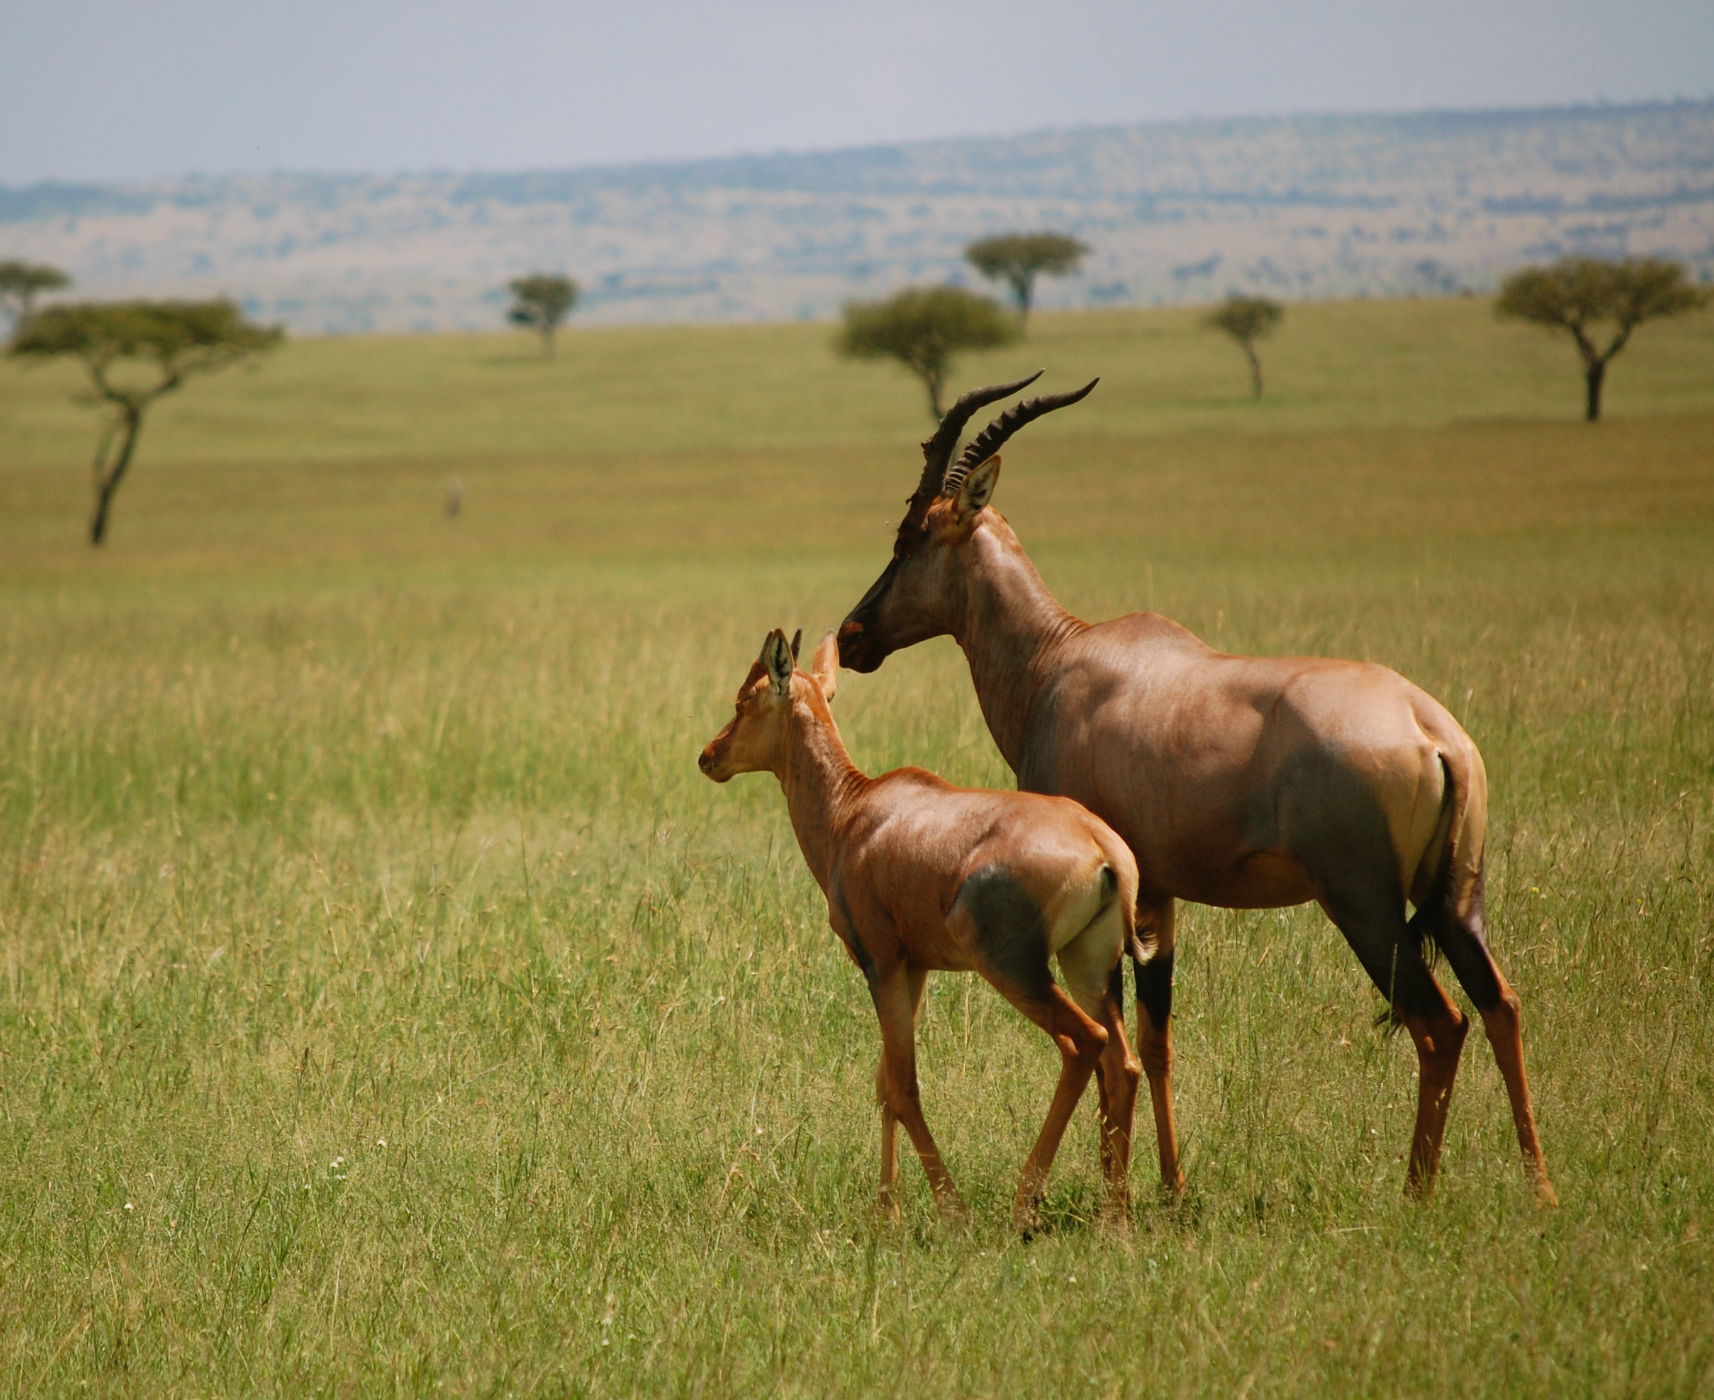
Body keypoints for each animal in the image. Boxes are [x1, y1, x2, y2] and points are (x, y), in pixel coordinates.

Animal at [699, 627, 1143, 1227]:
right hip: (1089, 963)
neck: (856, 811)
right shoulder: (915, 969)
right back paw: (1114, 1215)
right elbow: (884, 1083)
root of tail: (1102, 847)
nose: (709, 756)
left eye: (745, 700)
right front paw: (886, 1211)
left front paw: (950, 1210)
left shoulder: (880, 963)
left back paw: (1025, 1202)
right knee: (1123, 1061)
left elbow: (905, 1086)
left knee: (1084, 1043)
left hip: (1013, 969)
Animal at [837, 373, 1557, 1206]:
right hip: (1455, 894)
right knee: (1500, 1004)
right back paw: (1540, 1189)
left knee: (1439, 1023)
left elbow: (1113, 1038)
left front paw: (1119, 1189)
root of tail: (1433, 732)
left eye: (909, 536)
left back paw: (1415, 1193)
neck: (1062, 660)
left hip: (1365, 903)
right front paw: (1172, 1189)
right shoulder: (1158, 892)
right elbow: (1157, 1038)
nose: (851, 637)